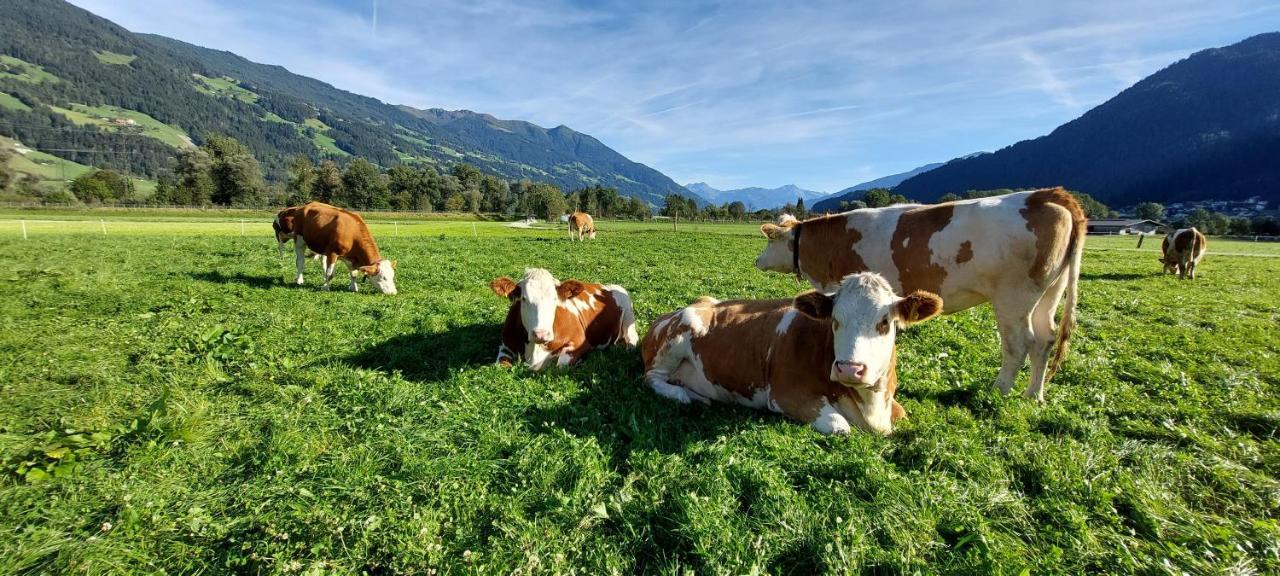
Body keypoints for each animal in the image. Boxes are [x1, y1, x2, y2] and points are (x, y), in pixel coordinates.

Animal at [486, 268, 637, 371]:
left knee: (631, 341)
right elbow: (501, 365)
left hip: (629, 318)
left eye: (554, 299)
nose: (541, 334)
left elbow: (560, 365)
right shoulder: (505, 346)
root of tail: (607, 285)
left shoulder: (580, 342)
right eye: (523, 299)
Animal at [645, 272, 947, 435]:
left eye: (884, 322)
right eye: (835, 320)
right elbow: (840, 426)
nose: (850, 368)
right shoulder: (785, 395)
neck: (871, 409)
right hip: (676, 337)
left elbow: (902, 412)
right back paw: (686, 396)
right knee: (652, 379)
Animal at [752, 189, 1085, 399]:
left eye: (769, 242)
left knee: (1019, 344)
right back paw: (1034, 394)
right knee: (1044, 340)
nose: (756, 260)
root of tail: (1044, 194)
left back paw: (999, 391)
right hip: (1049, 293)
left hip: (1014, 297)